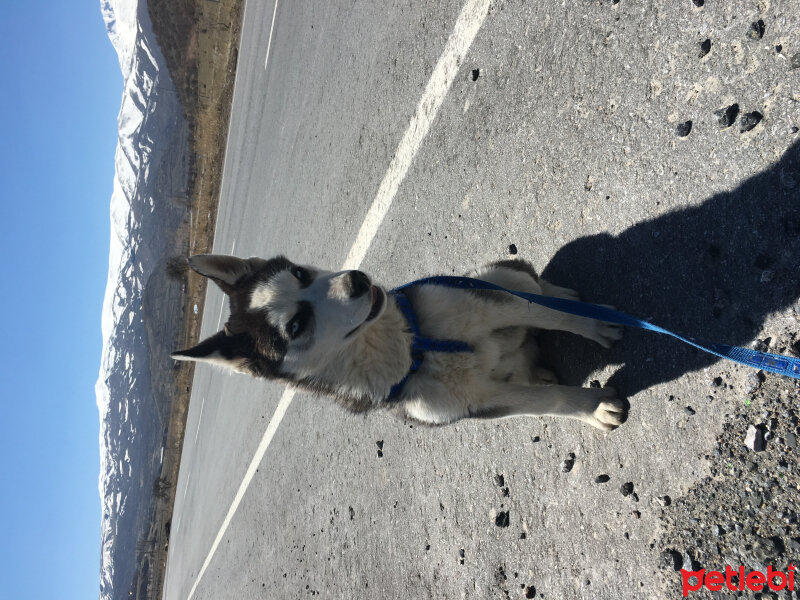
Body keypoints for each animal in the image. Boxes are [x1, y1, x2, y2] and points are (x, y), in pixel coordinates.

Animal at [172, 255, 628, 428]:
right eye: (297, 325)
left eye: (300, 273)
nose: (357, 280)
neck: (411, 348)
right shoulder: (475, 402)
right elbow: (547, 403)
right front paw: (592, 408)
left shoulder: (485, 307)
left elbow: (554, 315)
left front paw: (595, 323)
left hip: (487, 278)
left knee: (530, 285)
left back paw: (560, 293)